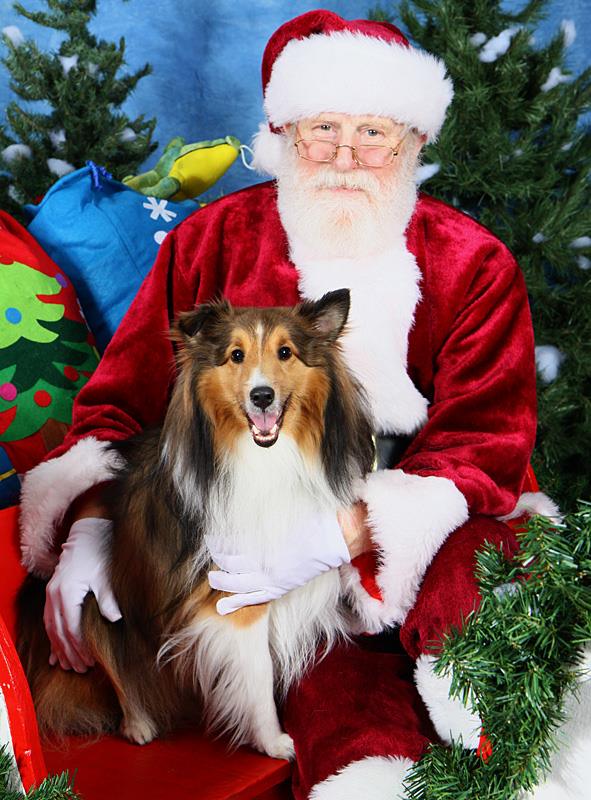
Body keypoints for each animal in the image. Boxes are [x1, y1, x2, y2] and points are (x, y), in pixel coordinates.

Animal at [20, 290, 376, 764]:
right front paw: (272, 740)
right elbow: (257, 675)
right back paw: (139, 725)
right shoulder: (234, 599)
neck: (264, 459)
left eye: (285, 352)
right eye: (236, 355)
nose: (262, 396)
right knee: (118, 677)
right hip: (91, 610)